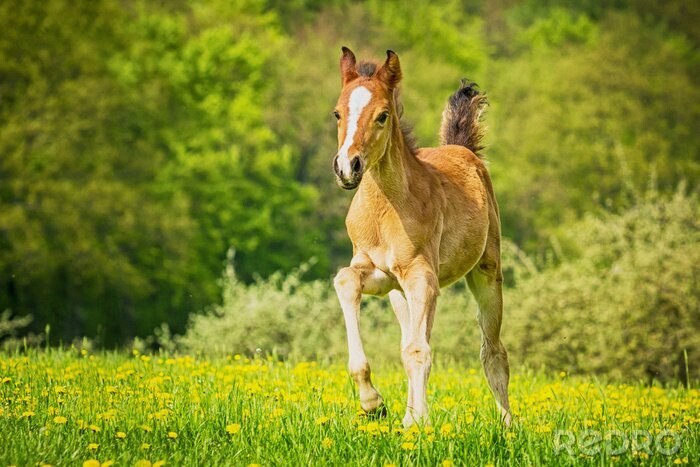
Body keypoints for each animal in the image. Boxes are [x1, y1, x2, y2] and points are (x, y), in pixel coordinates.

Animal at [330, 47, 512, 428]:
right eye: (337, 112)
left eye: (383, 116)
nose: (347, 168)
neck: (385, 210)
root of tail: (463, 150)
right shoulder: (382, 275)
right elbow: (346, 282)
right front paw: (374, 404)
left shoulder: (421, 276)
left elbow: (417, 350)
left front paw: (413, 423)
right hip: (402, 295)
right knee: (412, 338)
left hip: (486, 272)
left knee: (493, 351)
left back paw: (507, 427)